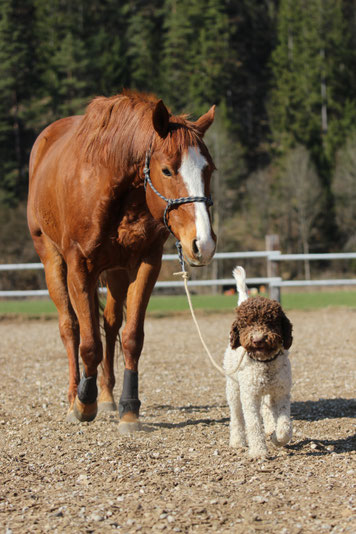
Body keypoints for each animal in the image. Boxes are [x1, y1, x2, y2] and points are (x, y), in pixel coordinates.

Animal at [26, 91, 216, 436]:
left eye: (209, 170)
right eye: (167, 170)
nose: (203, 244)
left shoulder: (146, 264)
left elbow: (131, 337)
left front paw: (129, 408)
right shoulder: (79, 267)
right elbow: (88, 342)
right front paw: (83, 404)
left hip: (115, 271)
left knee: (110, 323)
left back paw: (106, 396)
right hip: (51, 259)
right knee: (70, 327)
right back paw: (75, 395)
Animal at [224, 268, 294, 460]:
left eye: (270, 321)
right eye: (246, 324)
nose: (258, 339)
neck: (265, 363)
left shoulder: (281, 392)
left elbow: (284, 424)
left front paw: (278, 438)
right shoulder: (250, 395)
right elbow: (253, 424)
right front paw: (258, 451)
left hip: (268, 392)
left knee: (267, 410)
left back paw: (270, 428)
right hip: (233, 389)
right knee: (237, 417)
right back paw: (237, 441)